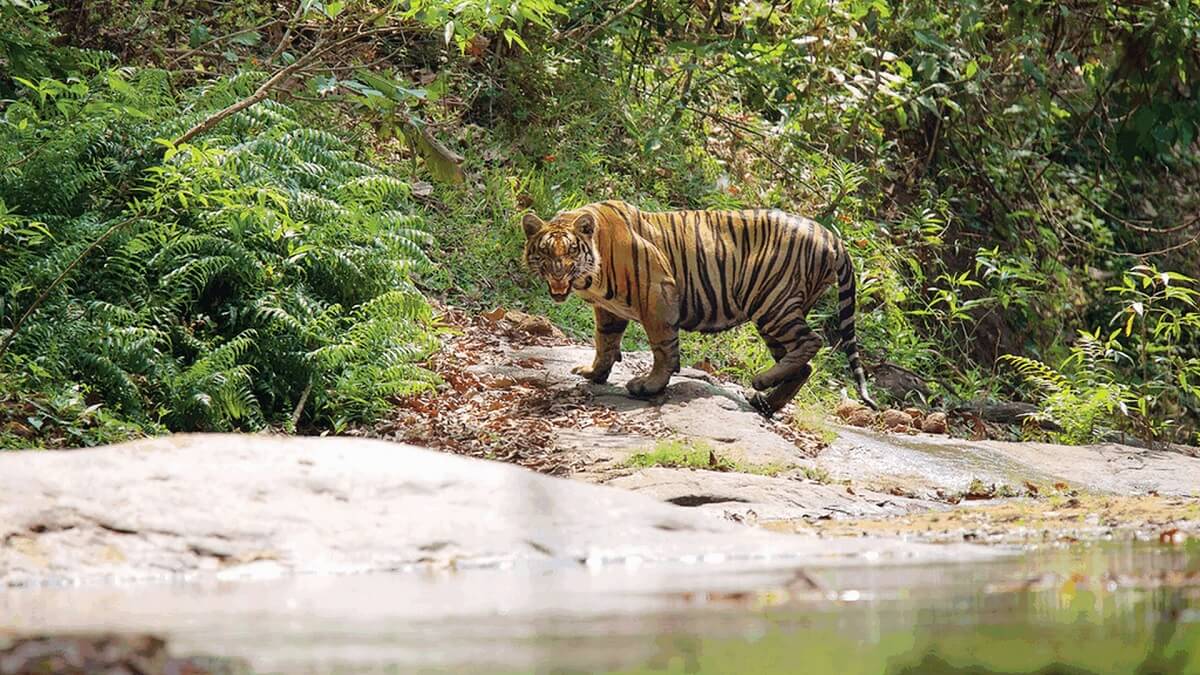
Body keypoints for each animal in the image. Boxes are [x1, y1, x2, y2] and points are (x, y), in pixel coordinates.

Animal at [522, 199, 878, 416]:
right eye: (545, 252)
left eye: (571, 251)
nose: (558, 274)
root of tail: (832, 237)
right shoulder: (609, 310)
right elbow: (605, 342)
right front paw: (594, 373)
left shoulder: (658, 292)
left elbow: (663, 347)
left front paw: (650, 385)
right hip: (776, 313)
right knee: (803, 366)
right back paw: (765, 401)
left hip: (772, 302)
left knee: (811, 341)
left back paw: (761, 382)